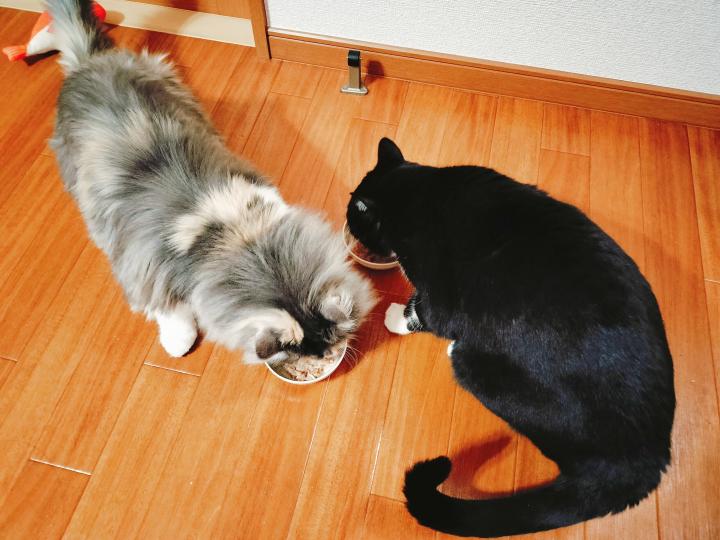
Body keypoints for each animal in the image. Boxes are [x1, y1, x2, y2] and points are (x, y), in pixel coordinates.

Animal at [47, 0, 375, 363]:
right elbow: (171, 311)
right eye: (300, 351)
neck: (228, 235)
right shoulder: (144, 266)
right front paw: (179, 342)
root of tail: (91, 60)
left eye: (329, 339)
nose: (325, 355)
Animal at [346, 138, 675, 537]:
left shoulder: (440, 298)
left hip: (478, 369)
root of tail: (648, 458)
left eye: (353, 213)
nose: (347, 219)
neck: (419, 193)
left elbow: (421, 312)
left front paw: (394, 316)